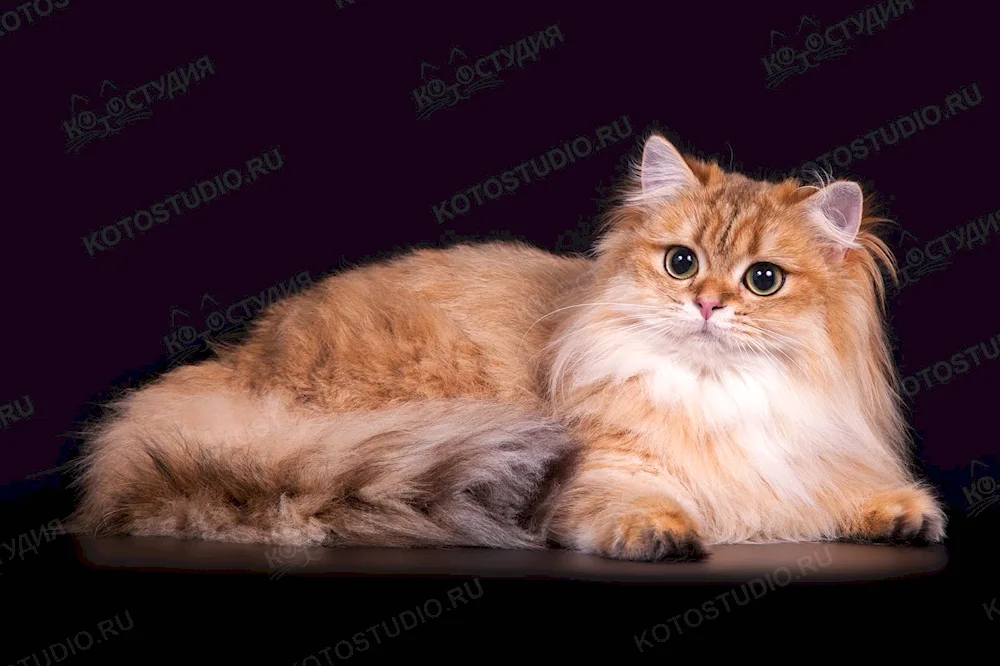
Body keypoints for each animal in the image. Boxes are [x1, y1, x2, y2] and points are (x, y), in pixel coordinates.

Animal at [68, 132, 944, 556]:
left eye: (763, 280)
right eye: (681, 262)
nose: (705, 304)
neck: (714, 397)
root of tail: (233, 371)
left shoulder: (804, 466)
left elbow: (845, 498)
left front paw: (903, 516)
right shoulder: (597, 474)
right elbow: (641, 506)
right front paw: (663, 535)